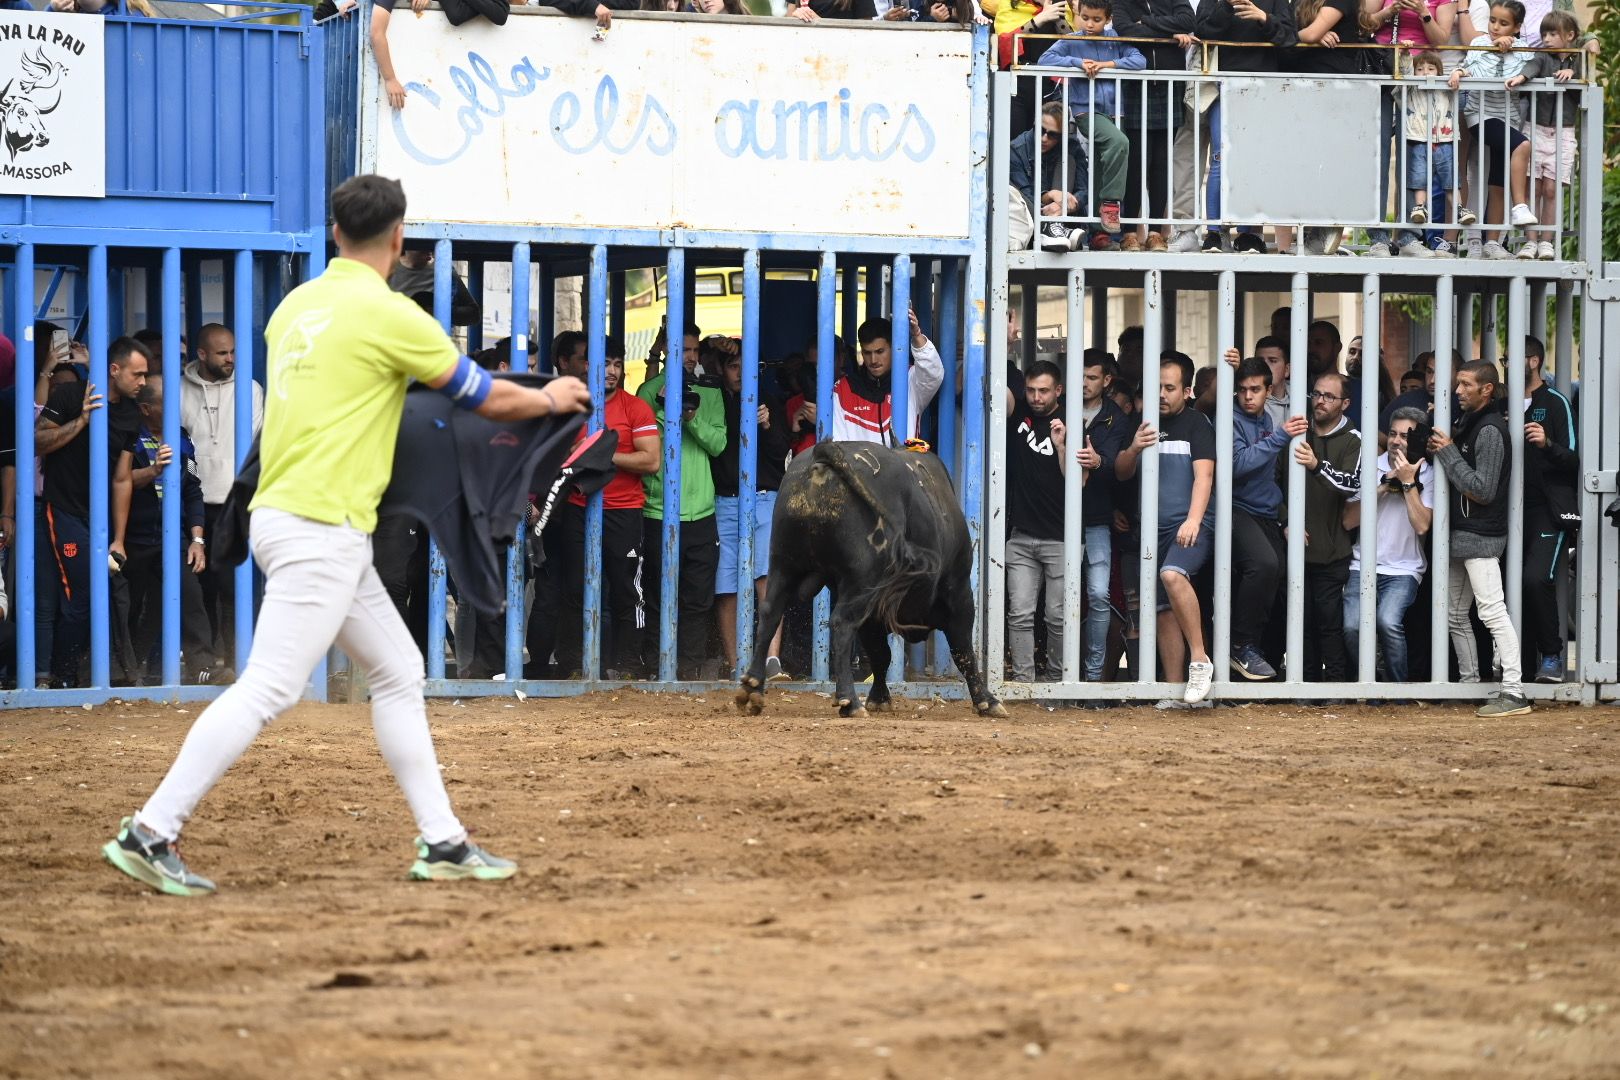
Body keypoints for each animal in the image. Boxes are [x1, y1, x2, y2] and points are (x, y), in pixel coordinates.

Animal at [738, 440, 1010, 718]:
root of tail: (825, 455)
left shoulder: (873, 616)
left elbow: (881, 654)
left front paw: (879, 698)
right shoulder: (959, 590)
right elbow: (963, 650)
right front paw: (987, 700)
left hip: (783, 564)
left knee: (770, 614)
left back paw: (753, 687)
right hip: (861, 582)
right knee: (841, 624)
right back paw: (849, 700)